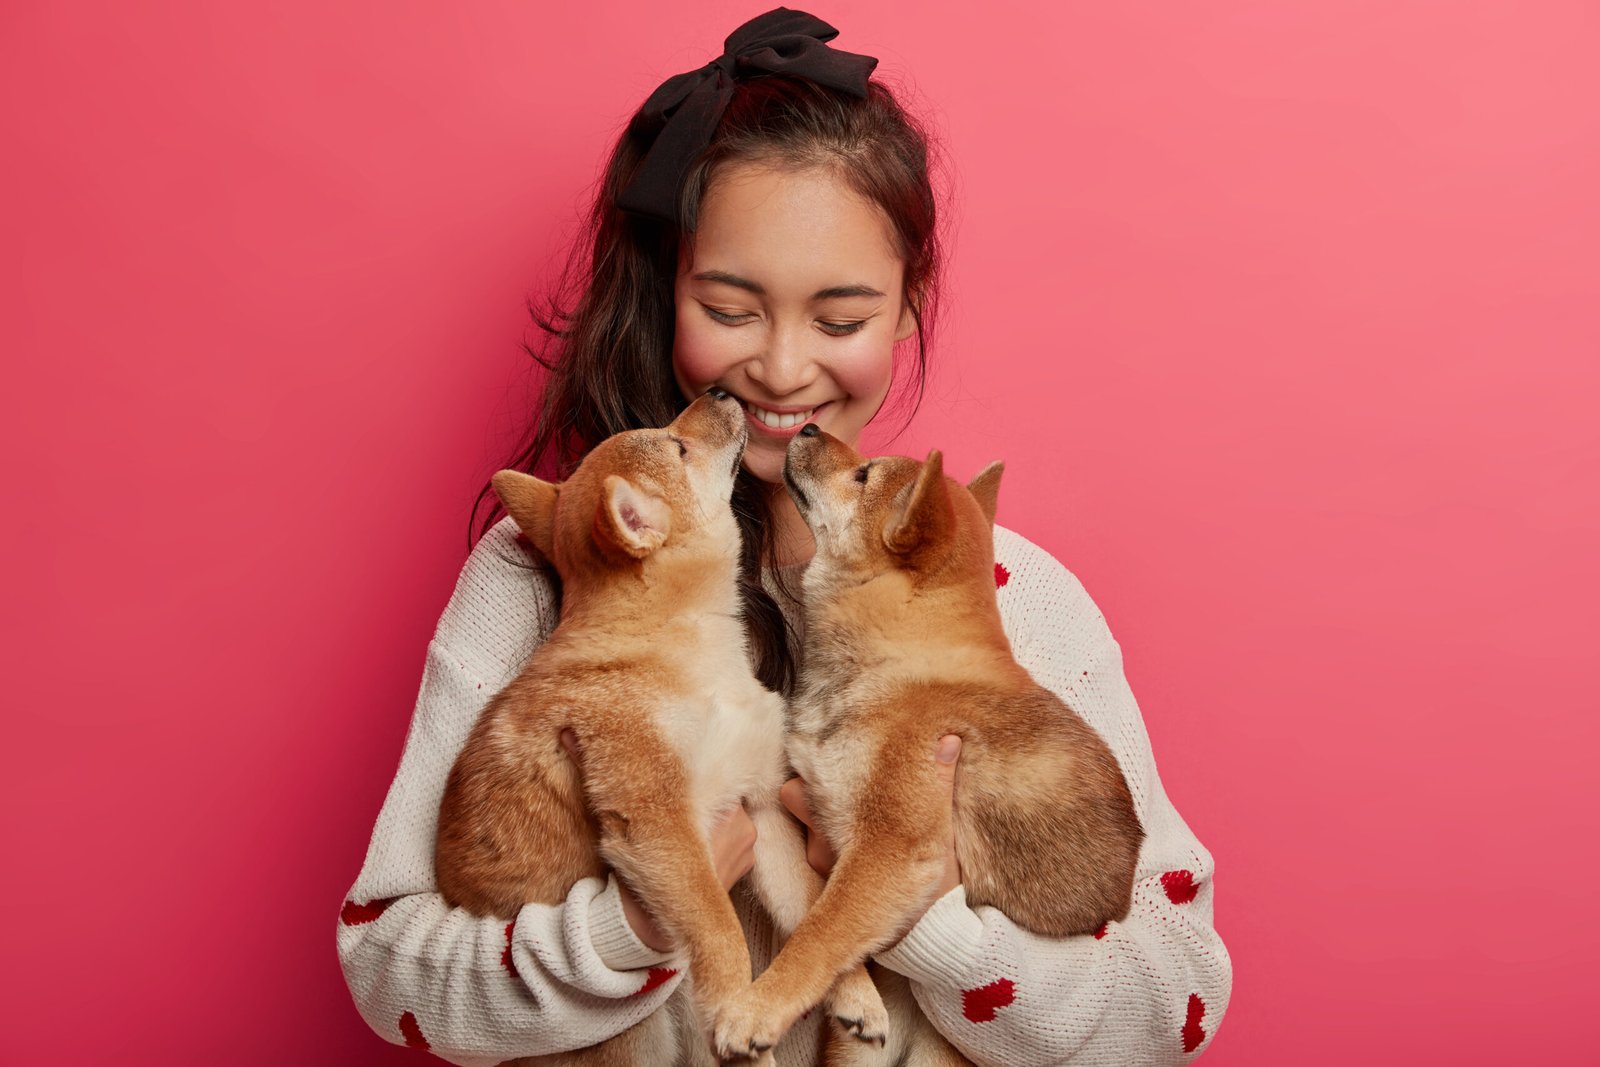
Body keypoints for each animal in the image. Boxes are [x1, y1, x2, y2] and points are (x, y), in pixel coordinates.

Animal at [438, 395, 883, 1067]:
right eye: (679, 446)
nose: (718, 395)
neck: (690, 643)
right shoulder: (660, 824)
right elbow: (719, 927)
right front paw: (737, 1013)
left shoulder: (762, 810)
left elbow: (810, 913)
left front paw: (854, 994)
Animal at [716, 428, 1152, 1067]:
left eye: (863, 475)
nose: (810, 430)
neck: (899, 657)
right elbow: (808, 908)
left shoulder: (889, 849)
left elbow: (820, 933)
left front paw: (757, 1008)